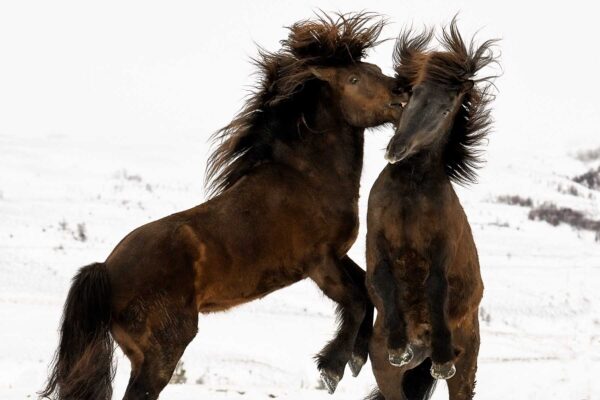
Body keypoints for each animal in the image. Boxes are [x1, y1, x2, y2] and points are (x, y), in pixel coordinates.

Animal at [39, 12, 406, 400]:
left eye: (374, 68)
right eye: (354, 79)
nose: (401, 93)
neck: (308, 178)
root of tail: (107, 271)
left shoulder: (337, 254)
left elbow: (367, 289)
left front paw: (357, 357)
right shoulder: (318, 261)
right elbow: (355, 300)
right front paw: (332, 368)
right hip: (164, 350)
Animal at [366, 21, 496, 400]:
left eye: (444, 110)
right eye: (412, 96)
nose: (395, 149)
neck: (411, 193)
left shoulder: (441, 247)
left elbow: (437, 286)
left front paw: (441, 359)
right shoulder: (376, 239)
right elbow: (382, 277)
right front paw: (398, 347)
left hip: (467, 370)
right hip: (389, 378)